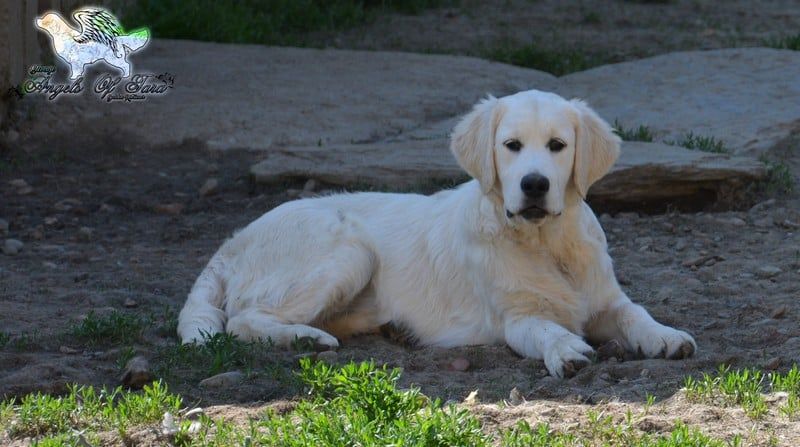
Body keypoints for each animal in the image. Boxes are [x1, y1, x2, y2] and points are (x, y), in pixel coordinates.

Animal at [177, 90, 692, 378]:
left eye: (558, 146)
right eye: (511, 146)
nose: (534, 185)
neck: (546, 242)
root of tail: (235, 239)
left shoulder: (606, 299)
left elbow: (636, 313)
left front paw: (665, 336)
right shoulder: (516, 318)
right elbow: (547, 328)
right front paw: (566, 348)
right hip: (348, 249)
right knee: (243, 320)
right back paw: (305, 338)